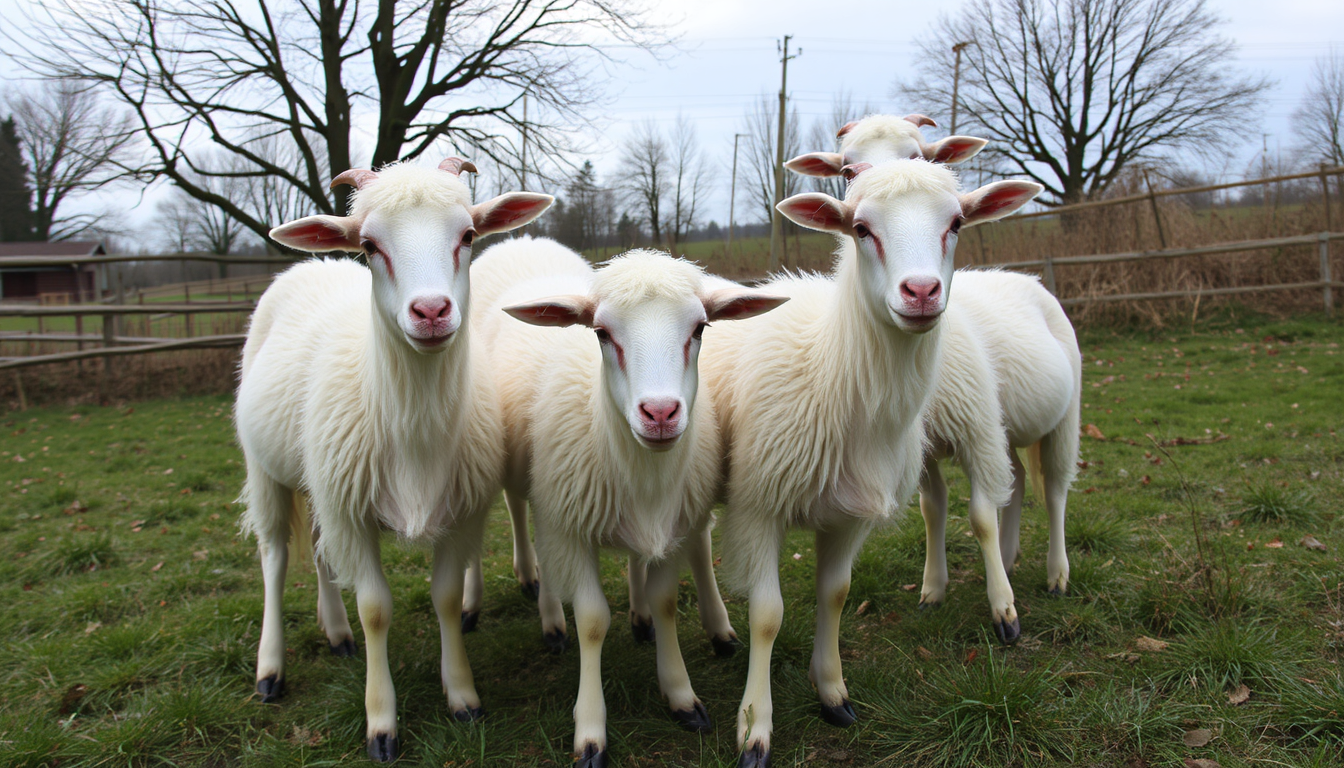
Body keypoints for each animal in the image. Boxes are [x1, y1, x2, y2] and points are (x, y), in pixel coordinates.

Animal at [234, 158, 552, 763]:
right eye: (369, 244)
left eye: (467, 235)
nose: (431, 311)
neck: (415, 431)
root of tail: (312, 264)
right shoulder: (352, 515)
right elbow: (376, 609)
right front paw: (381, 723)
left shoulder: (458, 511)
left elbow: (446, 599)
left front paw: (463, 696)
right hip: (265, 469)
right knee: (274, 558)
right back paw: (269, 670)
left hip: (321, 480)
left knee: (318, 552)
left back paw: (336, 633)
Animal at [470, 240, 786, 767]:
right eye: (601, 333)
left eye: (700, 328)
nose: (660, 413)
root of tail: (523, 241)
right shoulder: (571, 523)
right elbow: (593, 622)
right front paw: (590, 729)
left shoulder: (671, 522)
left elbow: (665, 602)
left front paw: (679, 692)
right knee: (516, 512)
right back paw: (538, 611)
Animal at [702, 160, 1042, 767]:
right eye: (861, 229)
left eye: (956, 223)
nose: (921, 291)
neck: (833, 368)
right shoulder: (760, 507)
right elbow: (768, 616)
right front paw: (754, 726)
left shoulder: (849, 513)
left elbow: (835, 595)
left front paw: (832, 691)